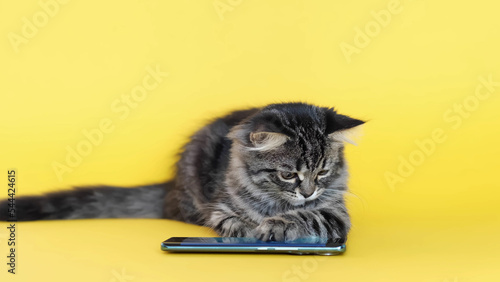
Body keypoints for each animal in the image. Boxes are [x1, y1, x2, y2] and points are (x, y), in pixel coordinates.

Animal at [0, 103, 364, 242]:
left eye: (322, 173)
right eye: (289, 175)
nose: (308, 192)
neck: (277, 202)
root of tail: (170, 187)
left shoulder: (335, 214)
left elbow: (307, 216)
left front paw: (275, 226)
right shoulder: (217, 207)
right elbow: (231, 220)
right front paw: (246, 228)